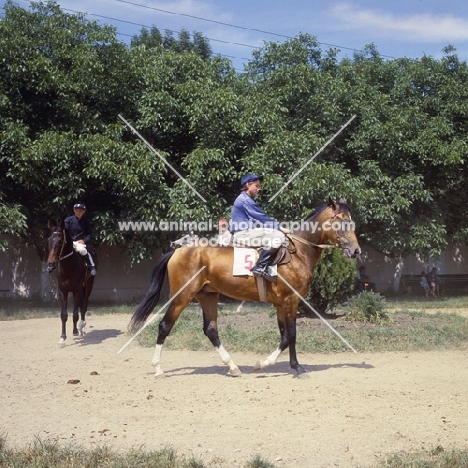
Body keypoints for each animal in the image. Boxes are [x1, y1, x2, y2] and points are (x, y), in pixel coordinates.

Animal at [130, 199, 360, 378]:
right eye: (341, 222)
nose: (356, 251)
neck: (299, 253)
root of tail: (178, 250)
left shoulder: (280, 304)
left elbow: (285, 337)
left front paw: (262, 364)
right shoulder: (290, 301)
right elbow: (292, 335)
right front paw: (296, 367)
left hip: (207, 296)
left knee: (210, 329)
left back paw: (233, 367)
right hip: (182, 297)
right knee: (164, 326)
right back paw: (158, 369)